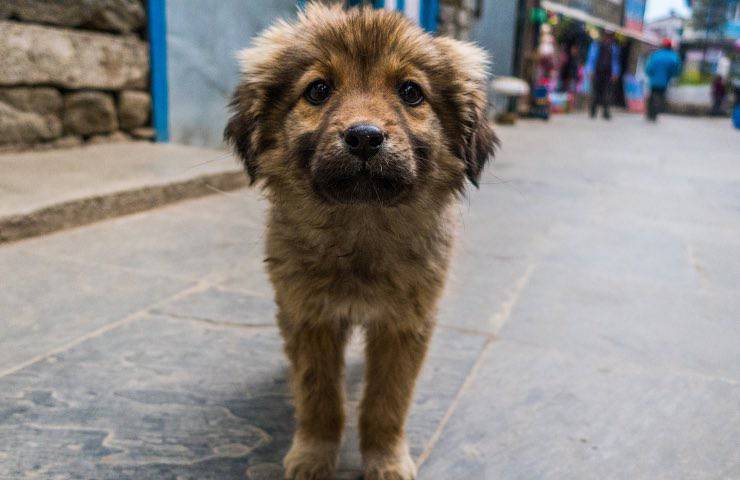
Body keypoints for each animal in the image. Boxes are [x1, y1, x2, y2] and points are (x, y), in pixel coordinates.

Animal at [223, 4, 494, 480]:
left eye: (410, 92)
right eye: (318, 90)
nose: (364, 136)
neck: (360, 229)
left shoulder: (404, 324)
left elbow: (386, 403)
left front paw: (386, 460)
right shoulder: (310, 315)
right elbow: (319, 398)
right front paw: (313, 456)